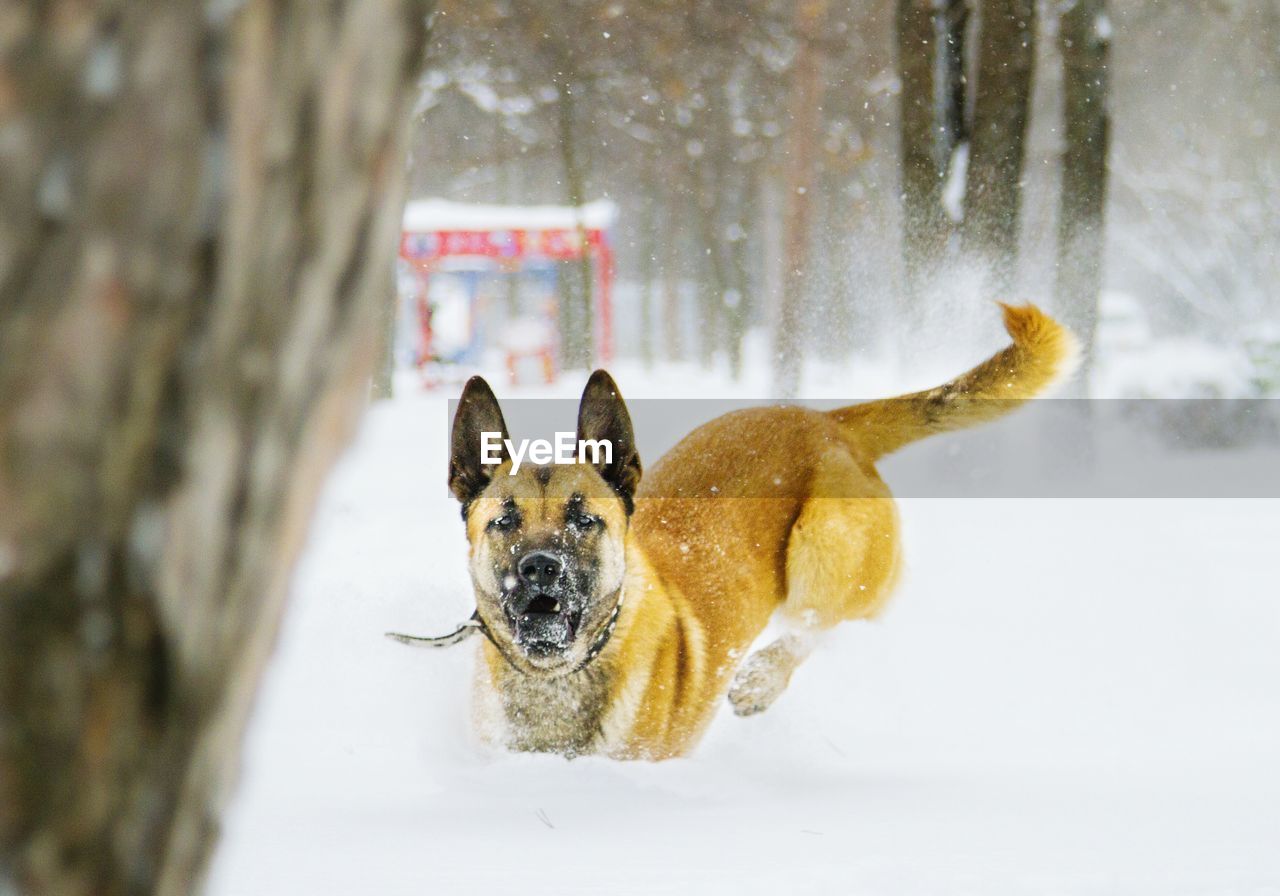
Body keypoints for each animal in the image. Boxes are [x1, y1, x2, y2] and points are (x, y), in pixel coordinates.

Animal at [394, 304, 1075, 757]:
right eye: (504, 520)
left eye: (584, 518)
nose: (539, 568)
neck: (556, 680)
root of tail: (828, 422)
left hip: (824, 542)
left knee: (817, 621)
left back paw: (759, 681)